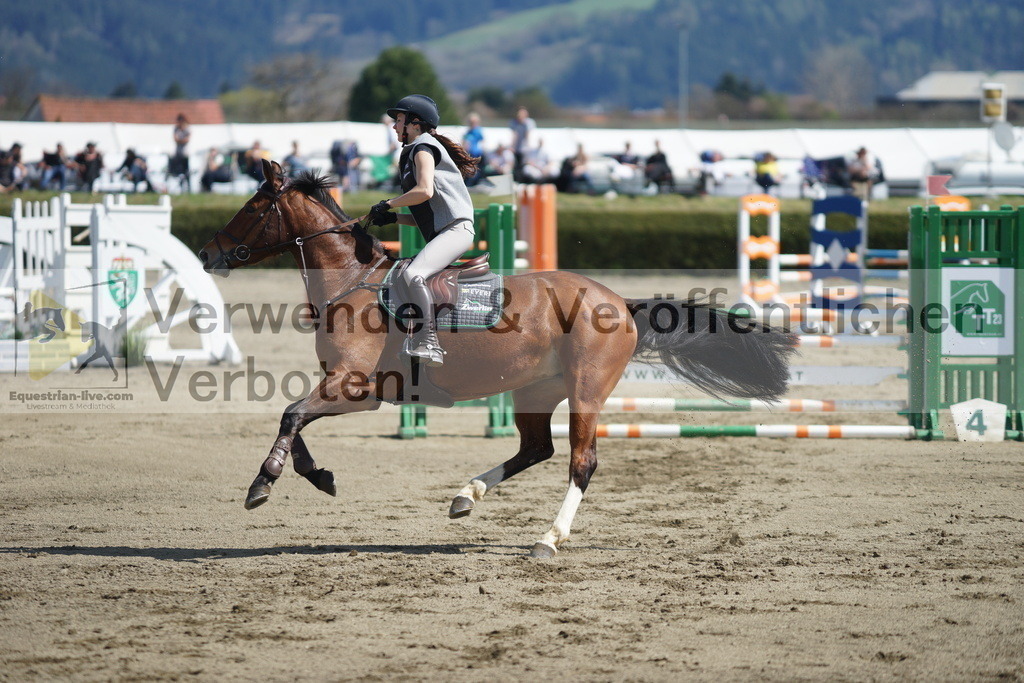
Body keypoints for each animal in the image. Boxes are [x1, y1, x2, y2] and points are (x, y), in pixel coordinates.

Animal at [197, 158, 790, 557]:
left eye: (253, 206)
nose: (206, 253)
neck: (352, 281)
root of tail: (619, 301)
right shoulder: (357, 392)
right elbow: (297, 423)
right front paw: (318, 475)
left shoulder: (351, 384)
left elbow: (290, 415)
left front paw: (262, 484)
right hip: (535, 390)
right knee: (535, 449)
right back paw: (467, 496)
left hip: (586, 391)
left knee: (580, 461)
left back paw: (549, 538)